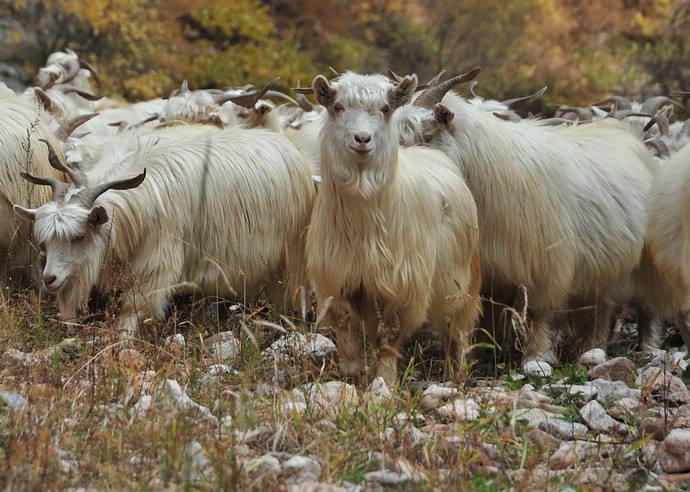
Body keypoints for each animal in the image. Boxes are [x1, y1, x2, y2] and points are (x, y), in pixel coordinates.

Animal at [14, 126, 314, 334]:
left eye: (79, 237)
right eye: (44, 243)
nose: (50, 279)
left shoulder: (156, 267)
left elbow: (130, 313)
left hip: (290, 259)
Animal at [306, 72, 478, 384]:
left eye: (385, 108)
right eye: (337, 107)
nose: (362, 138)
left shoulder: (402, 286)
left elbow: (390, 335)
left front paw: (383, 379)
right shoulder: (338, 276)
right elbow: (345, 322)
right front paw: (352, 369)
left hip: (460, 282)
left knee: (456, 330)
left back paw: (454, 374)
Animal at [396, 73, 652, 368]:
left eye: (426, 136)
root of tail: (624, 132)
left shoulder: (546, 262)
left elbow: (538, 312)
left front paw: (536, 357)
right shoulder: (492, 266)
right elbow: (487, 313)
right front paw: (485, 351)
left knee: (619, 307)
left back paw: (610, 347)